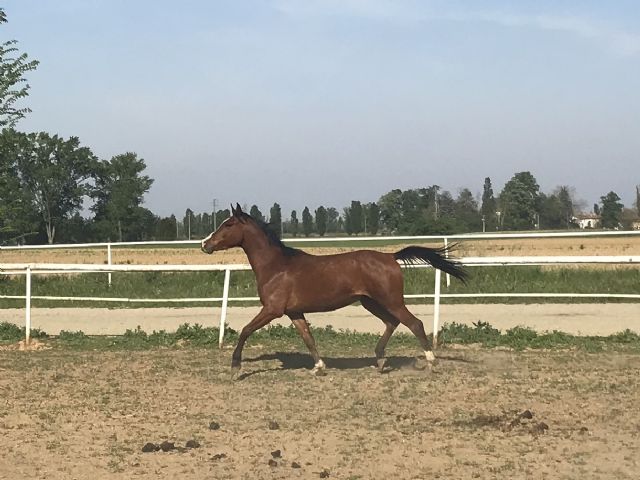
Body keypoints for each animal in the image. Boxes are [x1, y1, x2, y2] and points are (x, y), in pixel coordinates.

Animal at [202, 202, 468, 376]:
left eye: (228, 224)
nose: (205, 244)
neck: (276, 266)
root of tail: (390, 257)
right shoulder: (294, 312)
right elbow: (308, 338)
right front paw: (319, 368)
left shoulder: (272, 310)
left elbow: (245, 330)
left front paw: (236, 366)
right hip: (370, 301)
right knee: (392, 322)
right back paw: (380, 360)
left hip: (391, 300)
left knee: (414, 323)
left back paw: (430, 362)